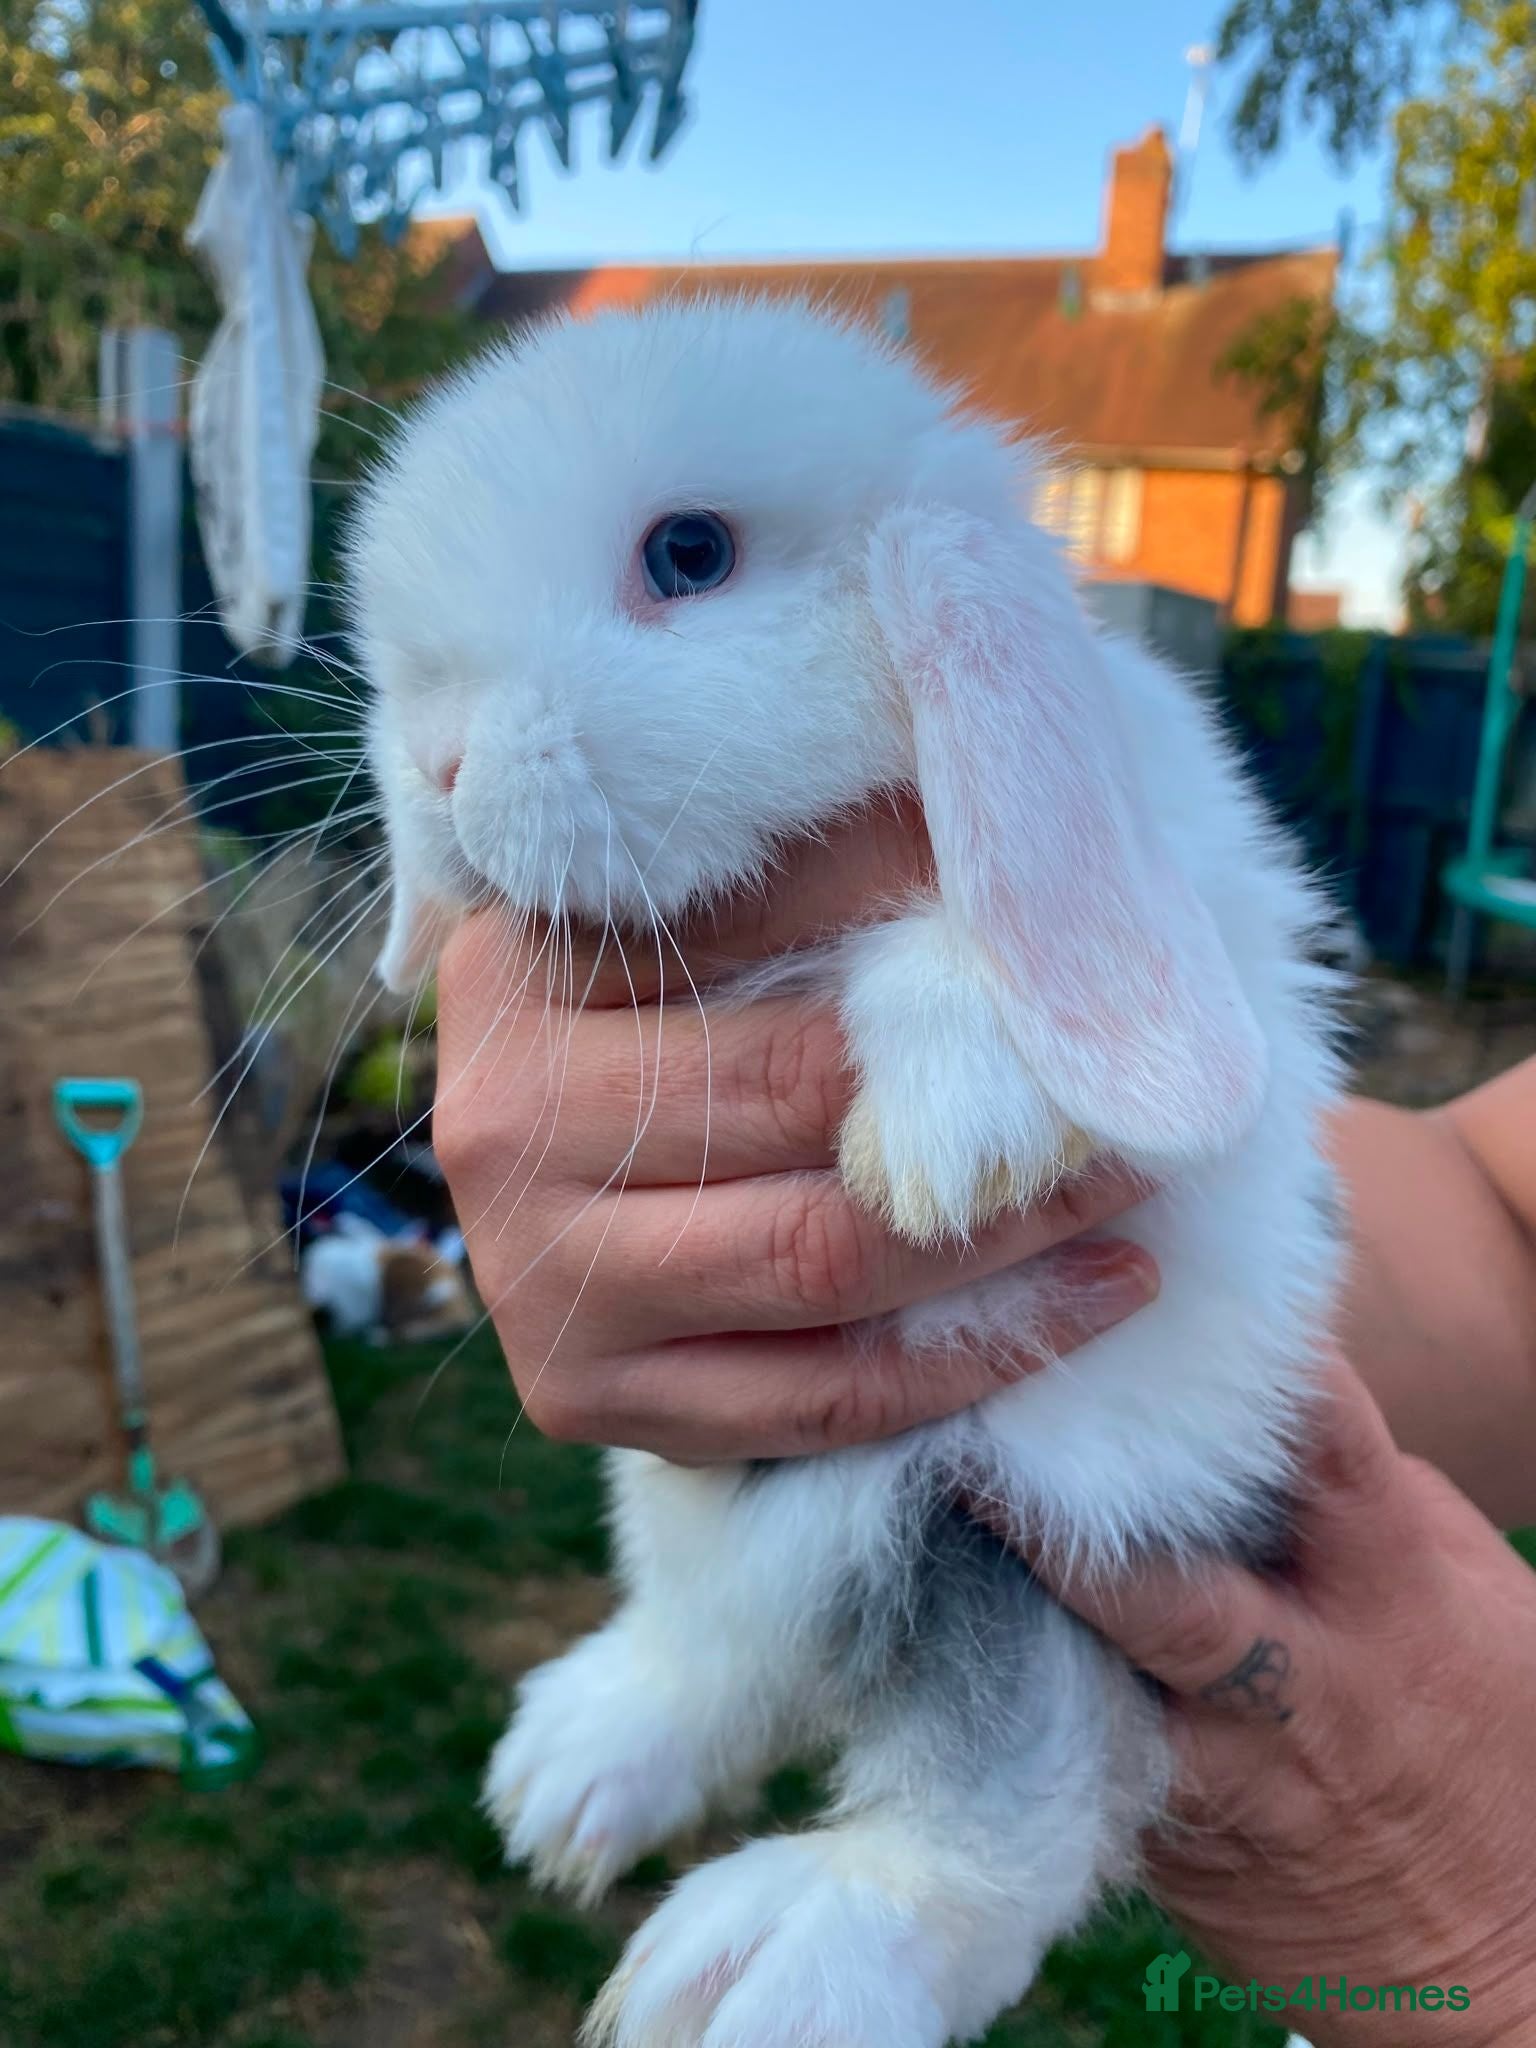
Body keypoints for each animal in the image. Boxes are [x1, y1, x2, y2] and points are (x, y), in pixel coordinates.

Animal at [348, 297, 1343, 2048]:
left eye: (688, 553)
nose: (439, 763)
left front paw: (957, 1133)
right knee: (715, 1647)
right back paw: (574, 1779)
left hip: (1018, 1524)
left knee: (1010, 1799)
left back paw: (782, 1962)